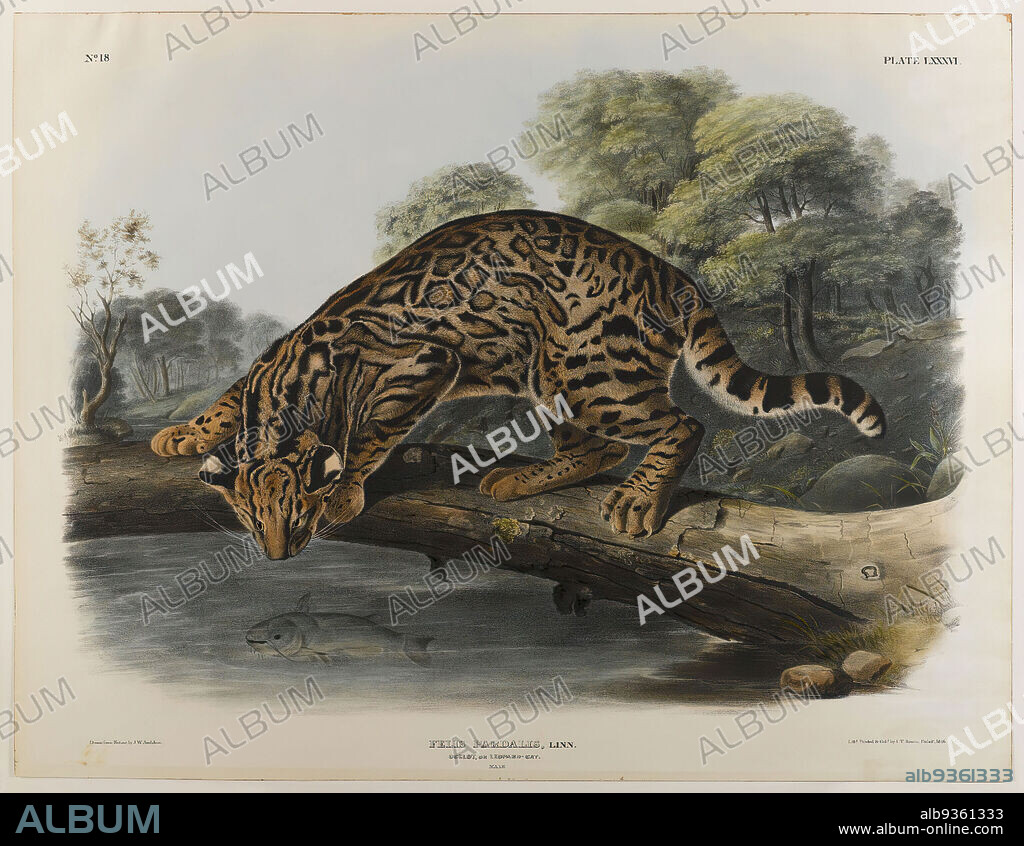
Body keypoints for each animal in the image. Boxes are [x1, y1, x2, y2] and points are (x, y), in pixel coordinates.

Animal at [151, 210, 885, 560]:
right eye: (250, 519)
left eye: (296, 515)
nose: (276, 556)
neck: (287, 396)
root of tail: (672, 275)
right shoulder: (260, 370)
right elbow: (226, 400)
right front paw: (186, 433)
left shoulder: (422, 362)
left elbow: (369, 435)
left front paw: (345, 488)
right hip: (555, 375)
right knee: (597, 448)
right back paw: (523, 479)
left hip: (590, 375)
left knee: (681, 423)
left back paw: (639, 501)